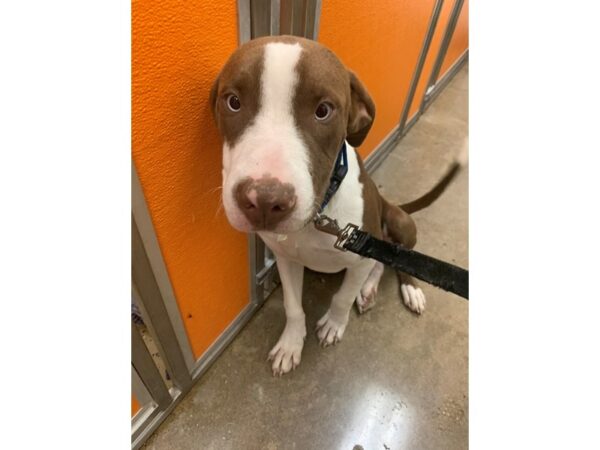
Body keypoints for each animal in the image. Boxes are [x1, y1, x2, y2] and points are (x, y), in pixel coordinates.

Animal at [209, 35, 462, 374]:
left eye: (323, 110)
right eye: (233, 101)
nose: (263, 200)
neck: (319, 217)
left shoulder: (359, 251)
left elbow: (343, 296)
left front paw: (333, 324)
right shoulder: (285, 257)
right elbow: (292, 305)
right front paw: (291, 344)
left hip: (398, 223)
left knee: (396, 259)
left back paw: (406, 290)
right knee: (381, 261)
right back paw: (368, 291)